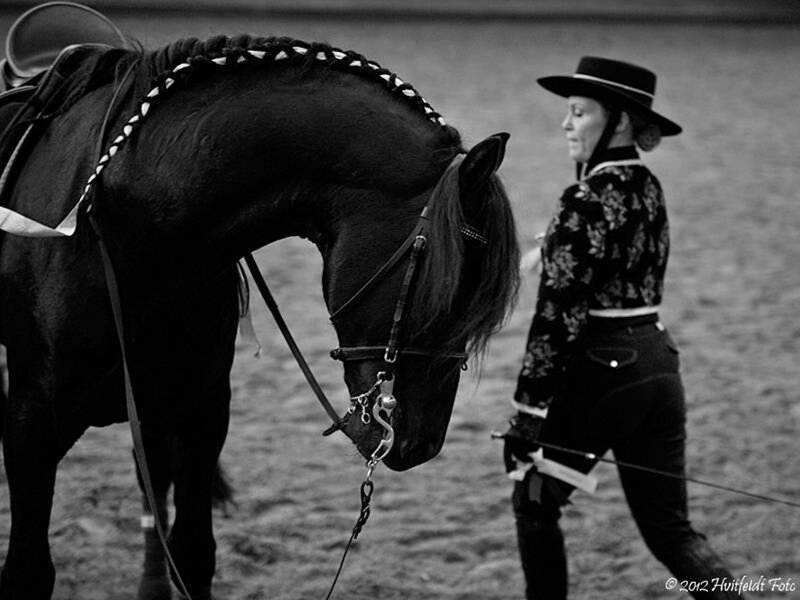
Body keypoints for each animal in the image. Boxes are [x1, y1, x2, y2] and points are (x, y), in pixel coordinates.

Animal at [0, 34, 520, 599]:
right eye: (446, 288)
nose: (421, 445)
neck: (127, 223)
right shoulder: (31, 420)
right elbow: (29, 570)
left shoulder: (199, 408)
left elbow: (193, 552)